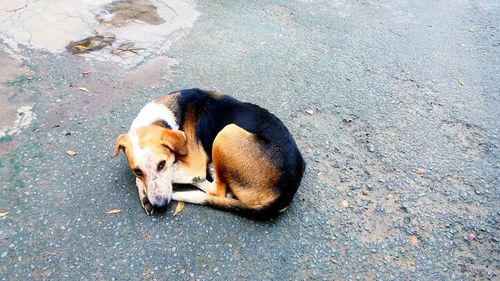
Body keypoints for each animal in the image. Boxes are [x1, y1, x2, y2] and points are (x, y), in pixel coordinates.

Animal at [112, 88, 304, 218]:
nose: (160, 205)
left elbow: (173, 174)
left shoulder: (192, 167)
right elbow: (140, 180)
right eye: (137, 170)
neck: (162, 117)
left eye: (161, 164)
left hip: (226, 132)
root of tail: (287, 191)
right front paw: (145, 196)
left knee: (217, 191)